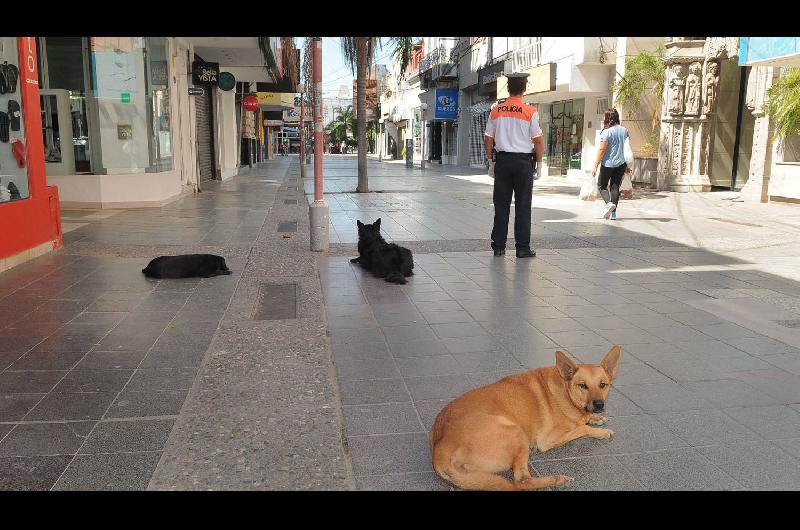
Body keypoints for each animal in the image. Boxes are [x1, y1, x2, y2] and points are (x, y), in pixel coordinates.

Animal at [432, 344, 620, 488]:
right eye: (583, 386)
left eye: (603, 385)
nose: (599, 405)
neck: (566, 392)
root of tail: (440, 447)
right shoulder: (548, 440)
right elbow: (582, 429)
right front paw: (601, 432)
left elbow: (585, 422)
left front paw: (596, 418)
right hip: (517, 433)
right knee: (522, 481)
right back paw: (556, 479)